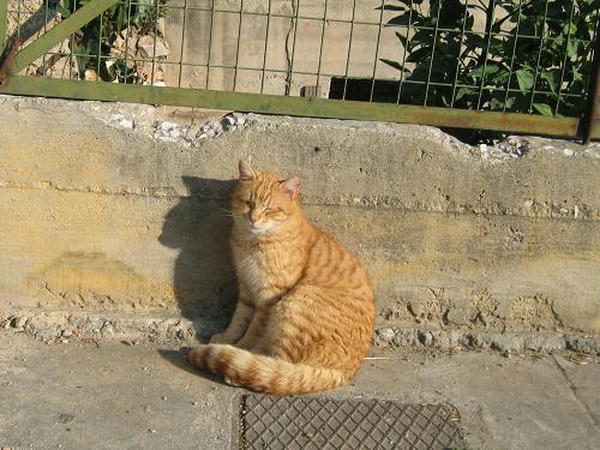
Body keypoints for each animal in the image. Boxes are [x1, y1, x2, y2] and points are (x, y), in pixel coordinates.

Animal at [187, 160, 375, 395]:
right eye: (248, 203)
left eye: (269, 209)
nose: (253, 219)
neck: (251, 242)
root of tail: (345, 371)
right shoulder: (247, 289)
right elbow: (238, 320)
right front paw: (227, 337)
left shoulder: (269, 297)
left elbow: (254, 330)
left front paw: (240, 346)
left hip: (296, 302)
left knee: (277, 366)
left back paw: (241, 369)